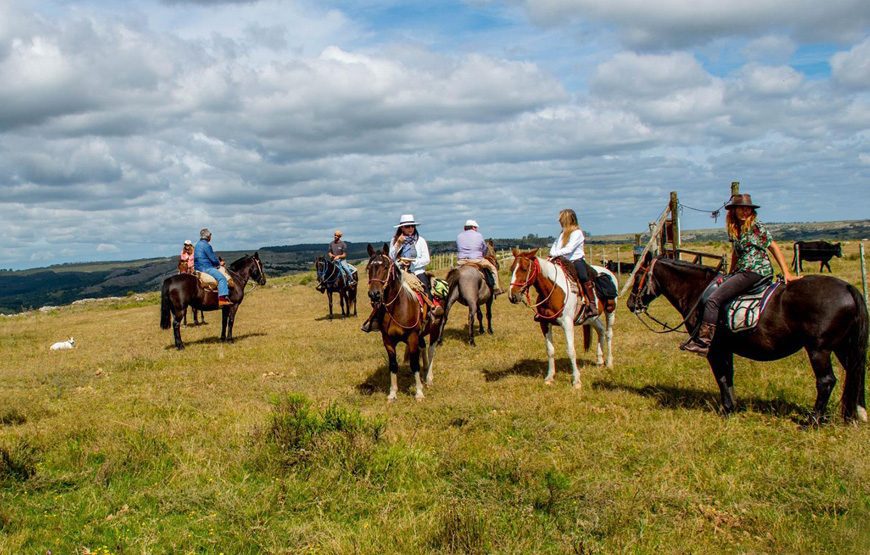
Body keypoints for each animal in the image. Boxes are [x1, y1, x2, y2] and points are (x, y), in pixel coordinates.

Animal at [364, 245, 442, 402]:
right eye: (369, 268)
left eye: (386, 267)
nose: (374, 294)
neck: (397, 308)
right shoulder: (388, 340)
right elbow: (393, 365)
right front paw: (393, 393)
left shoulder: (412, 337)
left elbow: (414, 363)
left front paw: (419, 392)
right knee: (423, 347)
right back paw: (425, 371)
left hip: (435, 328)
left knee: (431, 350)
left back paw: (429, 378)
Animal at [508, 250, 616, 388]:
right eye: (512, 269)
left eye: (524, 268)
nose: (512, 296)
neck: (553, 290)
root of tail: (608, 271)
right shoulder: (544, 323)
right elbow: (550, 350)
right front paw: (549, 377)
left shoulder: (567, 324)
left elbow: (571, 350)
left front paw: (576, 380)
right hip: (591, 317)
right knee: (601, 330)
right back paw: (600, 361)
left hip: (610, 311)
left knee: (608, 334)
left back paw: (609, 363)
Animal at [632, 258, 868, 424]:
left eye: (637, 275)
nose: (629, 303)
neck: (698, 291)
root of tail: (847, 287)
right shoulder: (726, 348)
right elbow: (728, 376)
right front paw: (732, 407)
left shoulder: (714, 349)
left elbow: (721, 377)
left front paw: (727, 410)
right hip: (843, 347)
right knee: (855, 374)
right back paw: (855, 414)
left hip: (819, 349)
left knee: (826, 381)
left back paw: (813, 420)